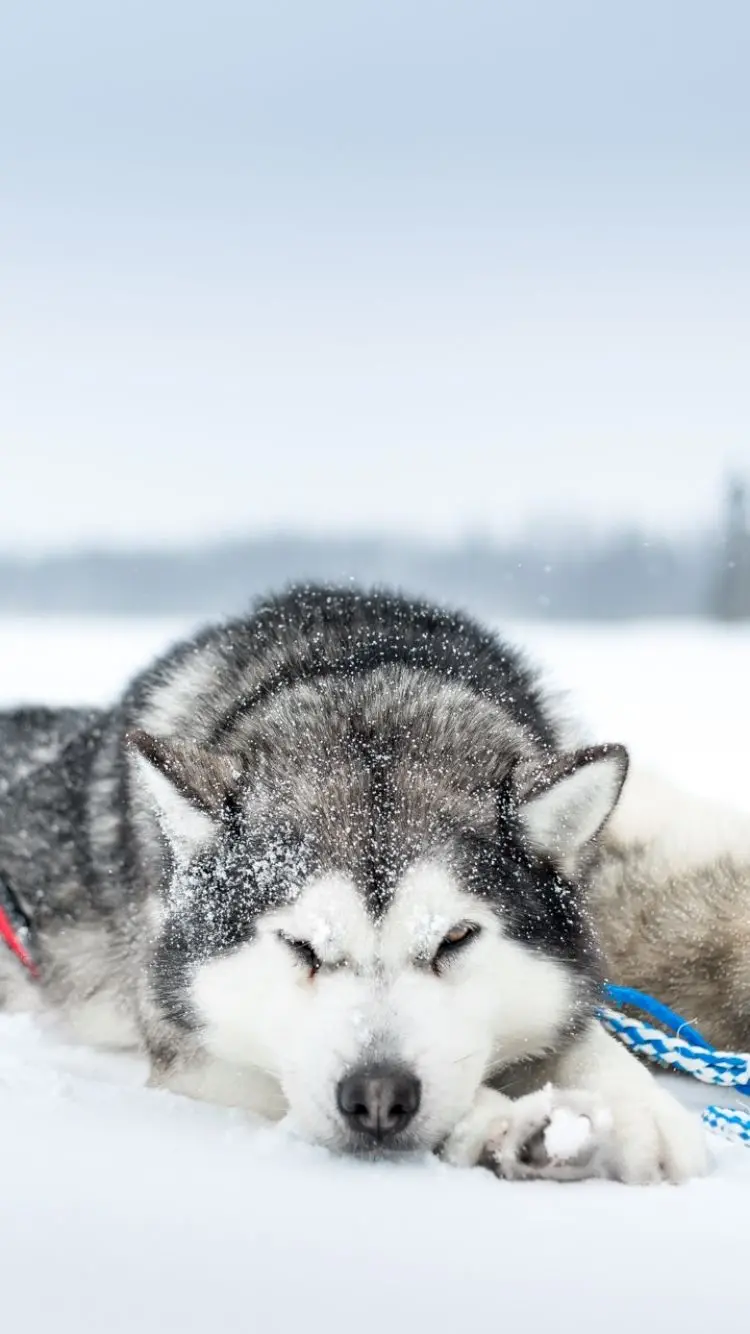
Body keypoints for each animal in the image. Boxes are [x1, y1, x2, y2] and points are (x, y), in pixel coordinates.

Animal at [0, 589, 704, 1184]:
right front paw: (503, 1119)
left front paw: (641, 1107)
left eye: (455, 938)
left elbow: (586, 1036)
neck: (367, 672)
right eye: (301, 946)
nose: (379, 1095)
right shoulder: (198, 1058)